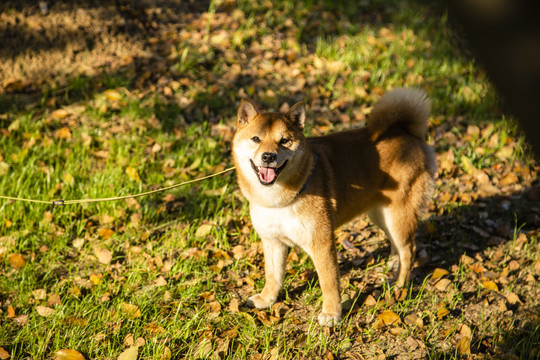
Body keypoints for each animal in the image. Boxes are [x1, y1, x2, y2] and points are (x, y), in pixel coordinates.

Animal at [230, 88, 436, 326]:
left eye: (284, 141)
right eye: (256, 139)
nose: (268, 156)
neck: (279, 200)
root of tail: (408, 133)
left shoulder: (322, 244)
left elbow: (328, 283)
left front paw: (332, 313)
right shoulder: (273, 241)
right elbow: (273, 276)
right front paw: (267, 299)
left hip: (397, 217)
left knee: (408, 250)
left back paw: (400, 284)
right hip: (380, 215)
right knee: (397, 246)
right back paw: (394, 267)